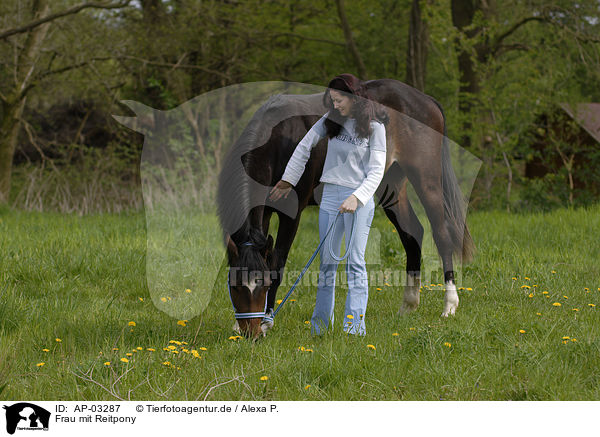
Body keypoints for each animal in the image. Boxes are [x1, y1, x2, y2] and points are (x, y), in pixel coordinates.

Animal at [216, 77, 474, 338]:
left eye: (264, 284)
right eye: (234, 286)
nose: (251, 334)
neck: (279, 139)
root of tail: (426, 100)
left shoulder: (292, 216)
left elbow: (278, 263)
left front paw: (268, 320)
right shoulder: (264, 213)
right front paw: (239, 323)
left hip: (426, 179)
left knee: (441, 234)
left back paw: (449, 304)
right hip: (390, 186)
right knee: (413, 234)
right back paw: (408, 305)